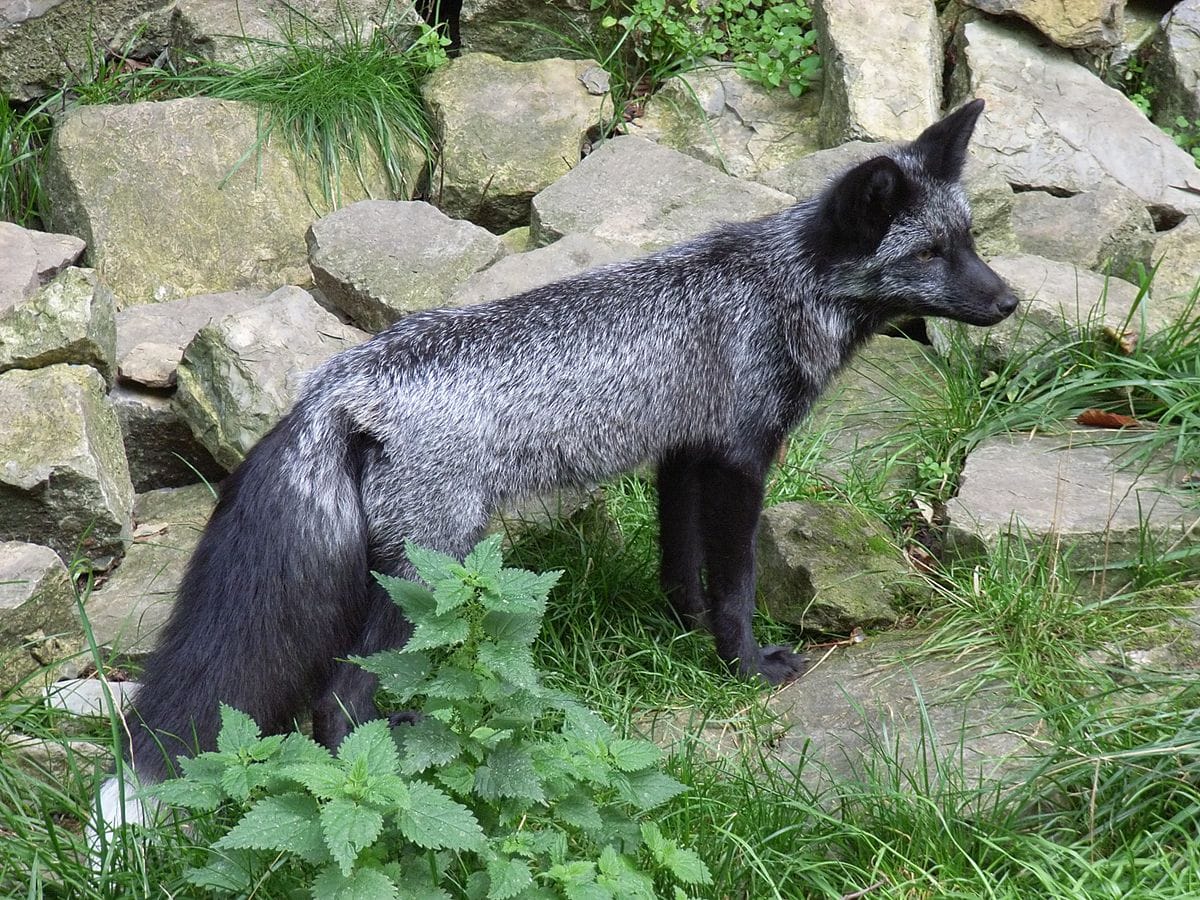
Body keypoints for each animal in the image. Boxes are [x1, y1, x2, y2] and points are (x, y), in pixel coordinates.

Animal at [93, 98, 1017, 848]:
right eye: (930, 252)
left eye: (970, 241)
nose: (1009, 302)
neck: (774, 289)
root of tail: (336, 386)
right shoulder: (738, 460)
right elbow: (736, 585)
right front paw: (746, 667)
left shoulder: (682, 455)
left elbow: (683, 572)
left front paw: (683, 639)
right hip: (427, 570)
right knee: (340, 701)